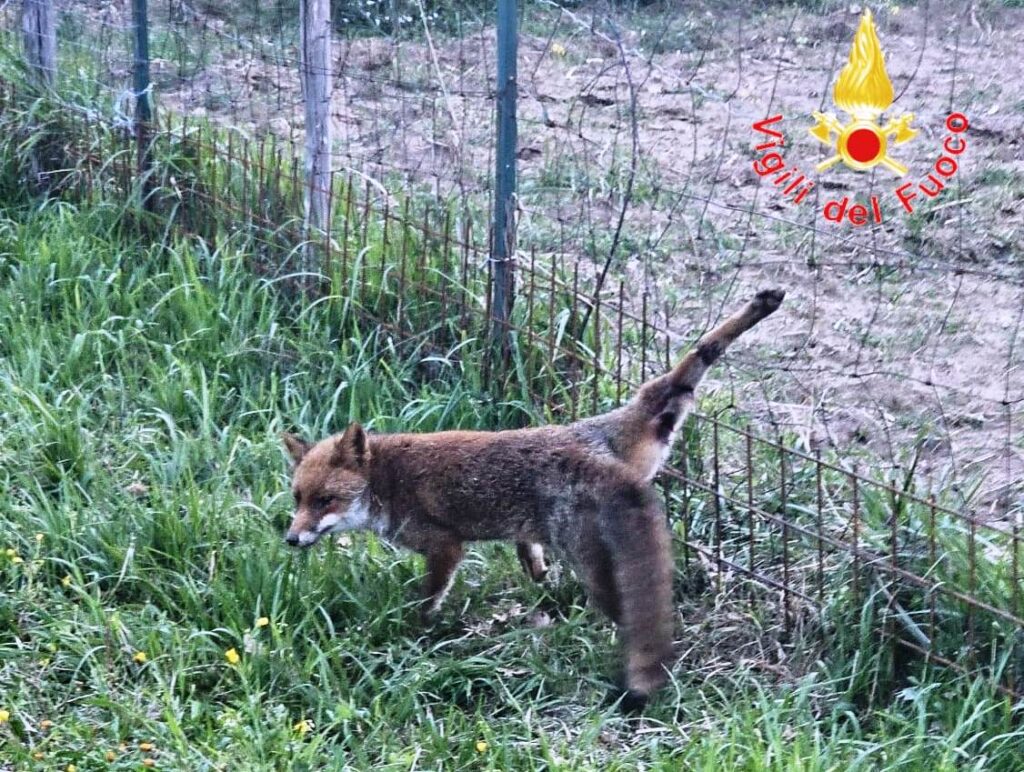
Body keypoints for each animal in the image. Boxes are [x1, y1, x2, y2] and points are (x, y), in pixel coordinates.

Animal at [282, 288, 785, 709]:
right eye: (298, 497)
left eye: (325, 500)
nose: (290, 539)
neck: (386, 481)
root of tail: (592, 451)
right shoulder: (521, 533)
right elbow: (528, 552)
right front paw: (538, 576)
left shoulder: (445, 546)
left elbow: (425, 601)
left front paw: (416, 632)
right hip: (658, 416)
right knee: (689, 367)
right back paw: (760, 305)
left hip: (595, 569)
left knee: (632, 617)